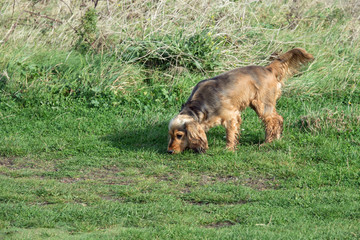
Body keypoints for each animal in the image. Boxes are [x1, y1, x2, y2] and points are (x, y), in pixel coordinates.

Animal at [167, 47, 314, 154]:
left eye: (179, 135)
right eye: (171, 135)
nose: (169, 151)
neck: (199, 106)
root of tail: (268, 69)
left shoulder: (231, 116)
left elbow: (230, 134)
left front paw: (229, 149)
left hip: (262, 105)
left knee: (275, 120)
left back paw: (268, 142)